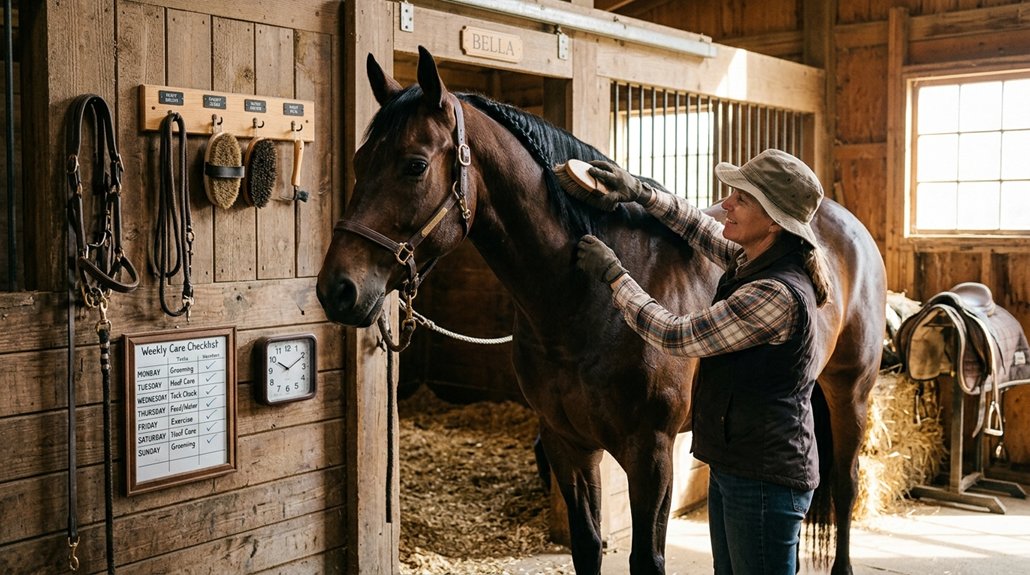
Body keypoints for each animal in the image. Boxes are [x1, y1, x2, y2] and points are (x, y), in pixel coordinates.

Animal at [317, 46, 886, 575]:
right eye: (358, 162)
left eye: (414, 165)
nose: (337, 289)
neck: (577, 309)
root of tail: (841, 223)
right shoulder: (568, 442)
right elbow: (587, 545)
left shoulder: (650, 452)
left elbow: (646, 558)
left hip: (850, 391)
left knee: (844, 485)